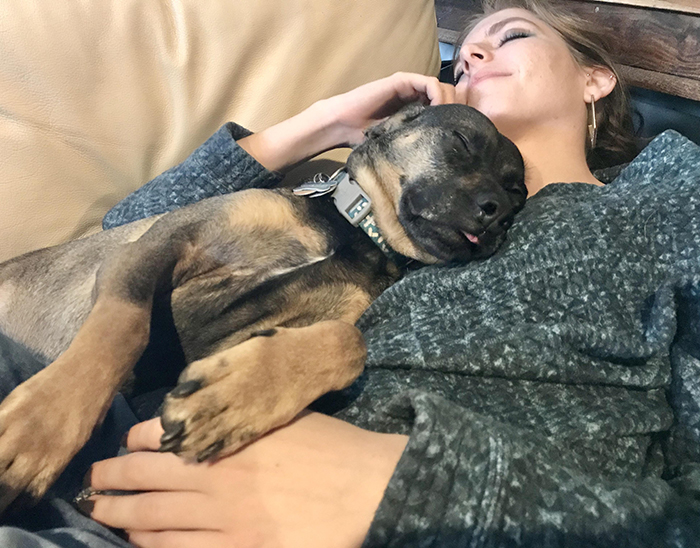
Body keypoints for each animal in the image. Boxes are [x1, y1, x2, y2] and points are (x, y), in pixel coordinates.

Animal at [0, 104, 524, 512]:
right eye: (460, 141)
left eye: (517, 193)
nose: (497, 212)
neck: (353, 231)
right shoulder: (154, 246)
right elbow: (123, 327)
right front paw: (40, 427)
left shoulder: (238, 334)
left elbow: (348, 339)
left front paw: (234, 398)